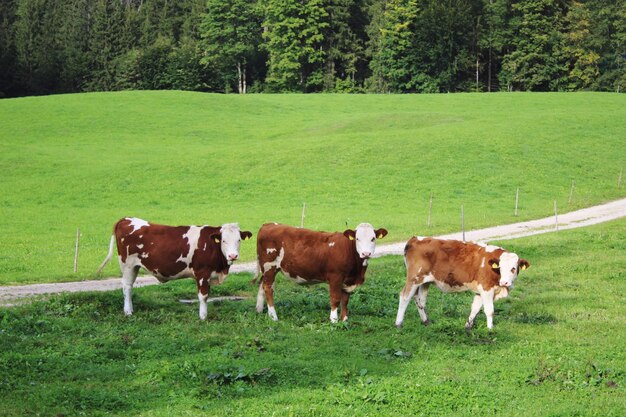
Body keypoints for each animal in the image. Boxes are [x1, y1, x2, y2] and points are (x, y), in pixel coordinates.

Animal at [95, 218, 251, 318]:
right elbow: (203, 296)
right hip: (127, 264)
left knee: (130, 286)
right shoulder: (202, 273)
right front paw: (203, 317)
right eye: (223, 240)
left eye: (239, 240)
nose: (232, 255)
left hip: (135, 266)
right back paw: (128, 312)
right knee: (127, 286)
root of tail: (126, 219)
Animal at [254, 221, 386, 322]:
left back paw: (259, 310)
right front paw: (334, 320)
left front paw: (344, 320)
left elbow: (345, 300)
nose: (366, 253)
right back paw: (274, 317)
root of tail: (269, 224)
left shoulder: (348, 281)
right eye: (357, 239)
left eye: (373, 238)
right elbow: (335, 299)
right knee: (268, 288)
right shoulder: (335, 277)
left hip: (267, 269)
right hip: (269, 266)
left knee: (262, 285)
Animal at [394, 237, 528, 328]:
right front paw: (490, 329)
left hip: (424, 282)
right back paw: (398, 323)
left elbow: (475, 308)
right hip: (414, 278)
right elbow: (489, 311)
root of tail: (415, 239)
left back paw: (426, 321)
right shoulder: (486, 288)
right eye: (500, 267)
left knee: (419, 299)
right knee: (405, 296)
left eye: (513, 268)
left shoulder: (481, 290)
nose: (505, 282)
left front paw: (468, 326)